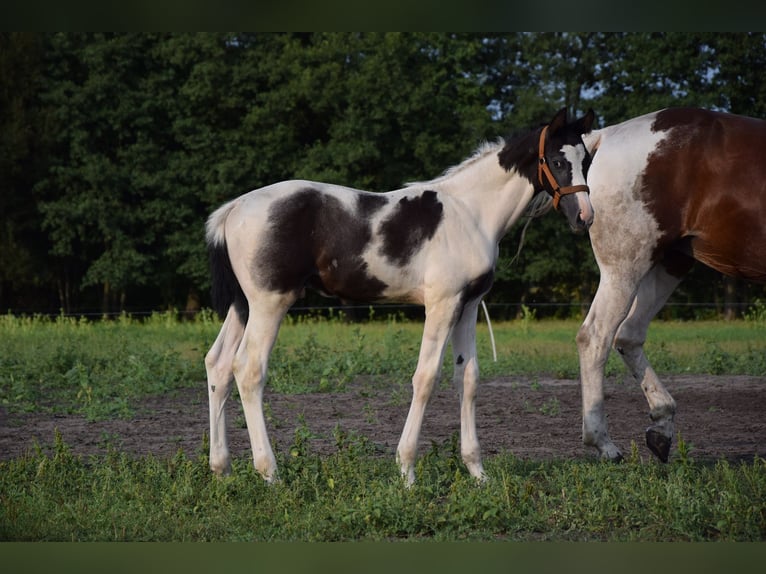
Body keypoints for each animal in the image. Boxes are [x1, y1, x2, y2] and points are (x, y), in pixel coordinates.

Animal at [207, 109, 596, 486]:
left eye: (587, 160)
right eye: (557, 161)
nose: (585, 217)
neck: (471, 213)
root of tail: (234, 208)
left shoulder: (468, 305)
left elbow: (467, 378)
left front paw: (477, 472)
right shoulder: (442, 305)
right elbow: (425, 378)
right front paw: (406, 471)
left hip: (243, 307)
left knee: (218, 365)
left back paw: (221, 468)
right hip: (269, 304)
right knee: (248, 370)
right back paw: (270, 474)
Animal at [584, 108, 766, 466]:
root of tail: (607, 135)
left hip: (670, 263)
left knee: (628, 335)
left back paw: (661, 425)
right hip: (624, 268)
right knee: (596, 337)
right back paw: (603, 443)